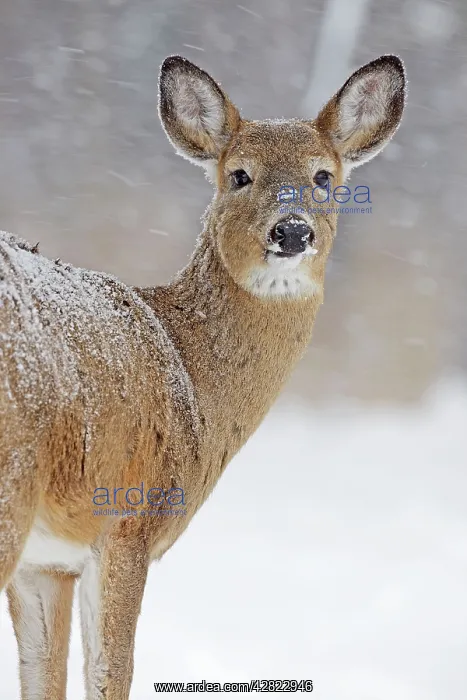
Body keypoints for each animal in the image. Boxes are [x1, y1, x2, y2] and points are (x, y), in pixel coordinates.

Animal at [0, 53, 406, 699]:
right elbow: (110, 672)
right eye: (238, 175)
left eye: (323, 176)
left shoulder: (48, 561)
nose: (292, 231)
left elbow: (42, 676)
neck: (190, 375)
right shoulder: (129, 520)